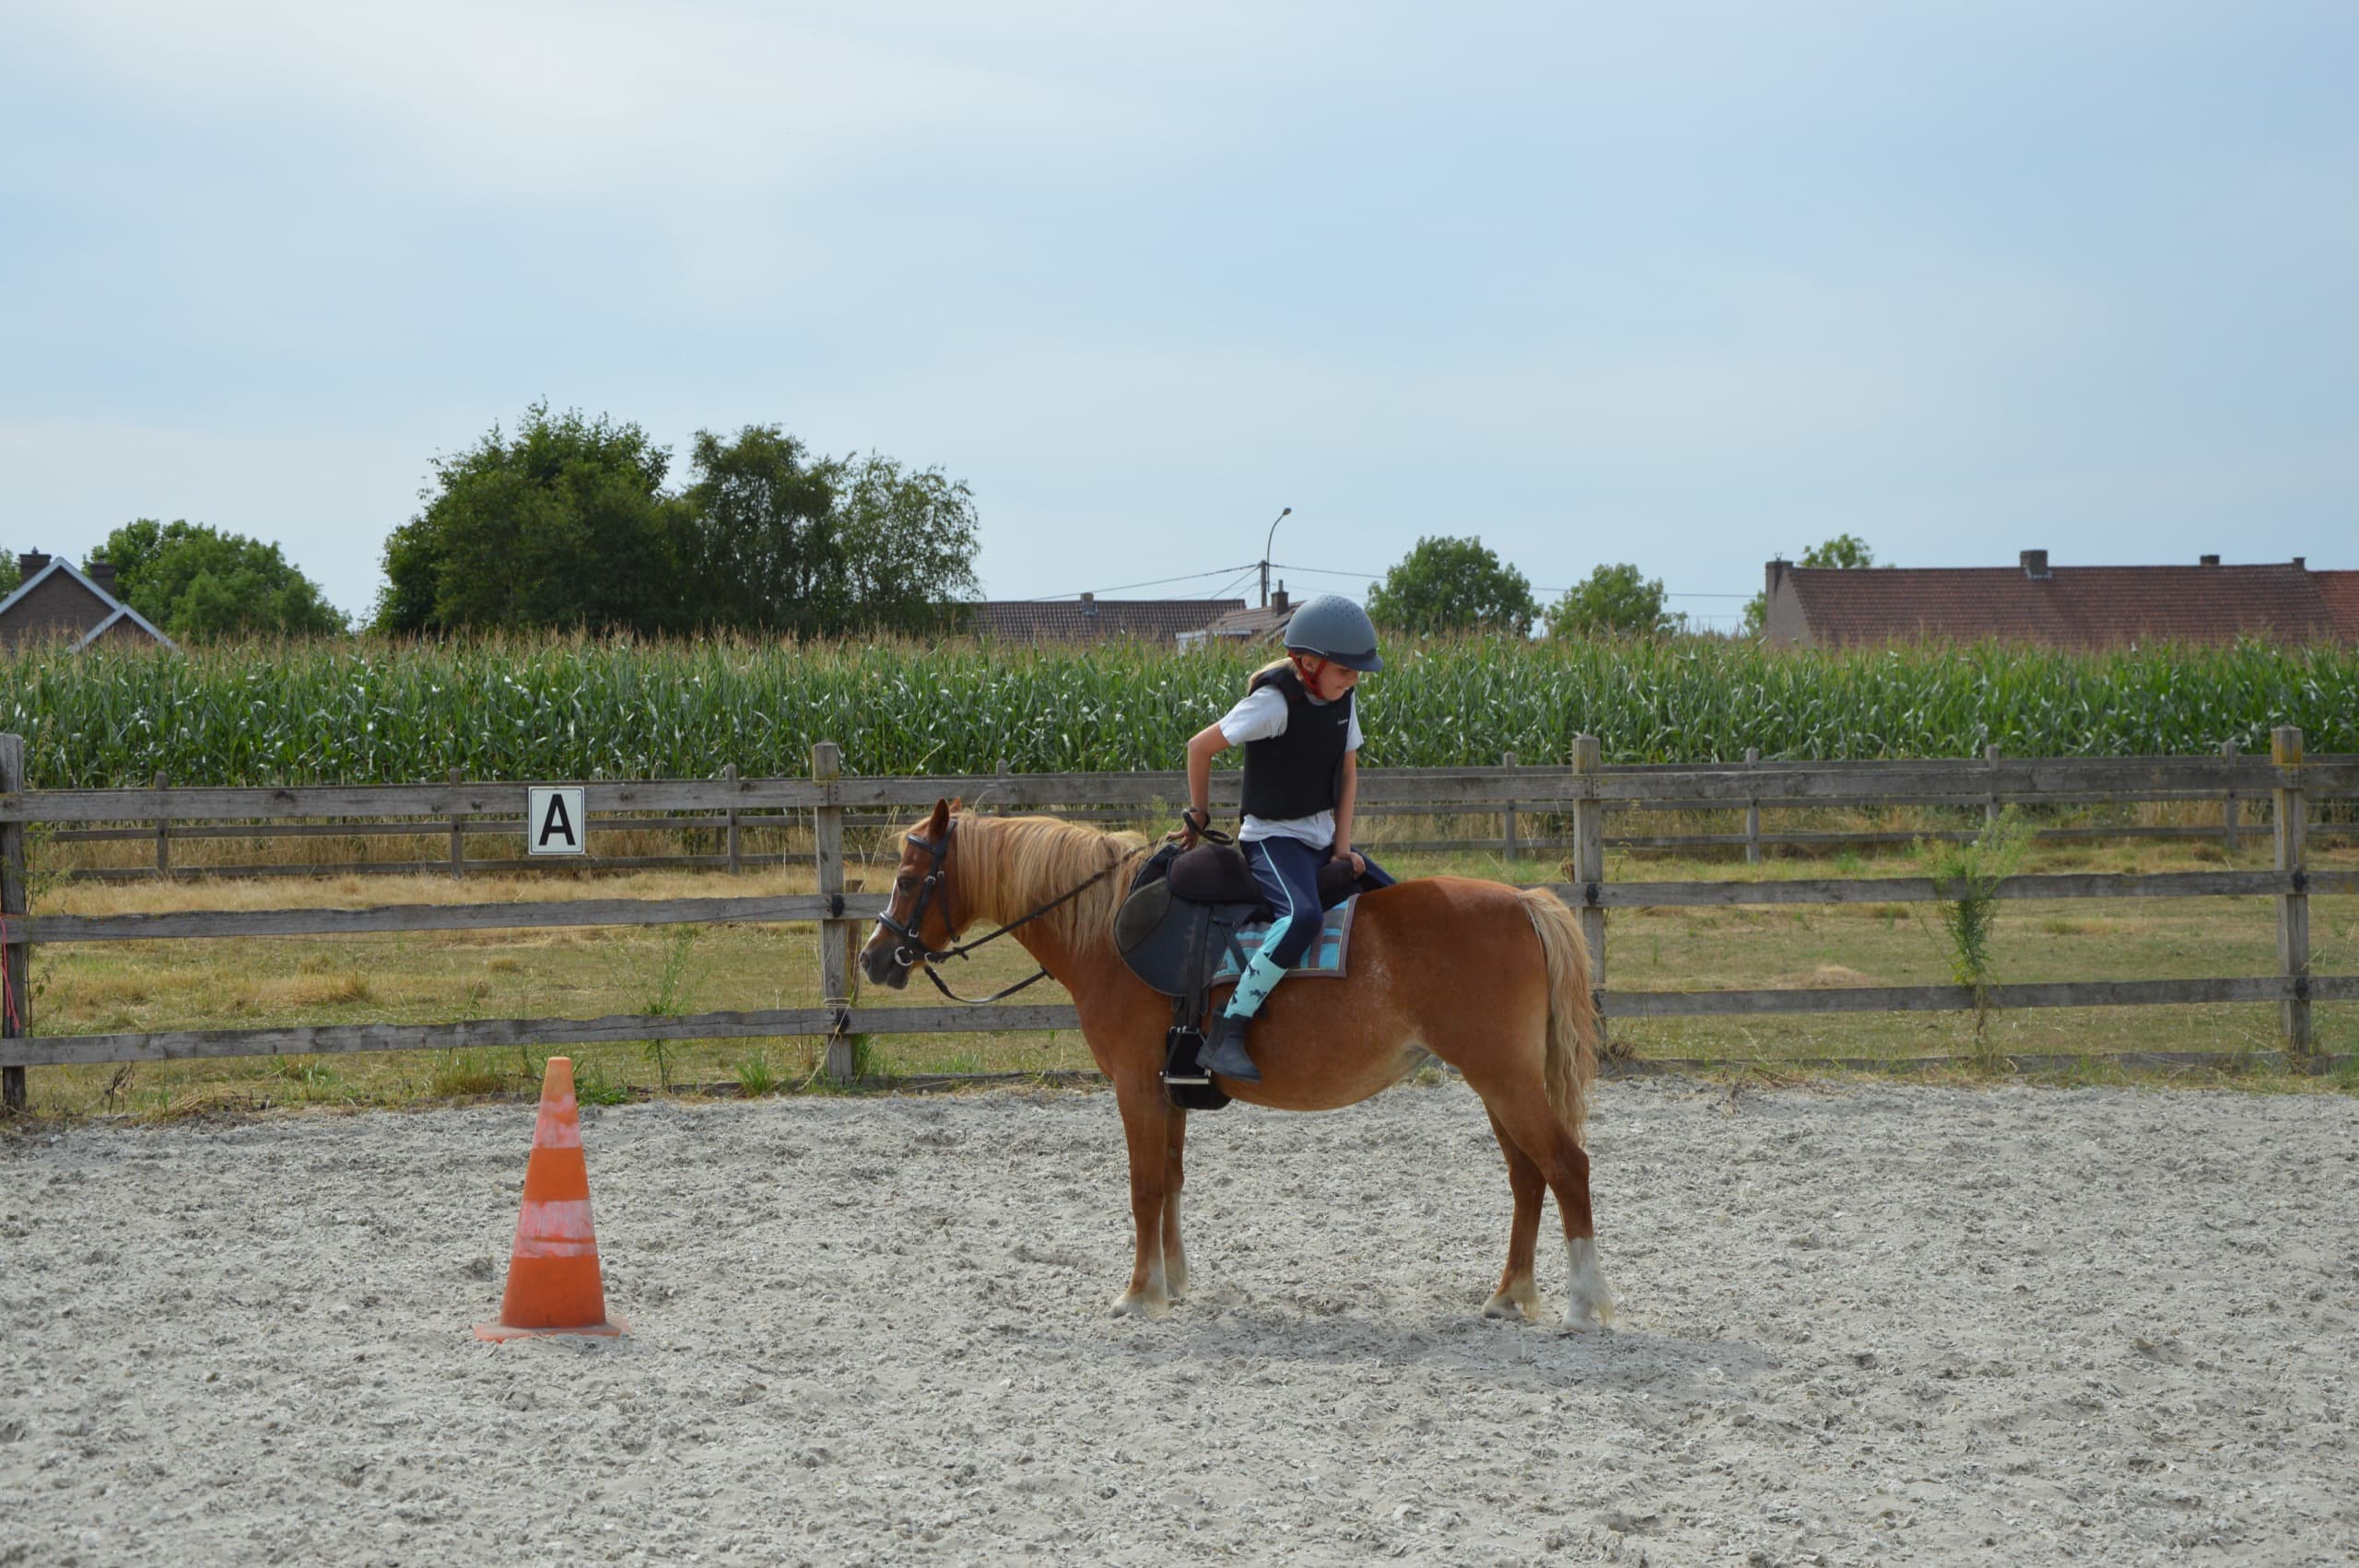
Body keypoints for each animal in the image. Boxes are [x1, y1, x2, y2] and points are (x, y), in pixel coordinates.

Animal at [858, 800, 1614, 1329]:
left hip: (1505, 1080)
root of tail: (1521, 900)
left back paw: (1583, 1303)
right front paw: (1172, 1281)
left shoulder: (1135, 1087)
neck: (1109, 928)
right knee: (1528, 1177)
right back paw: (1509, 1295)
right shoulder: (1170, 1089)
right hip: (1498, 1082)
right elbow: (1170, 1181)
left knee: (1566, 1166)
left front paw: (1138, 1294)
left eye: (908, 879)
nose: (873, 957)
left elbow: (1143, 1188)